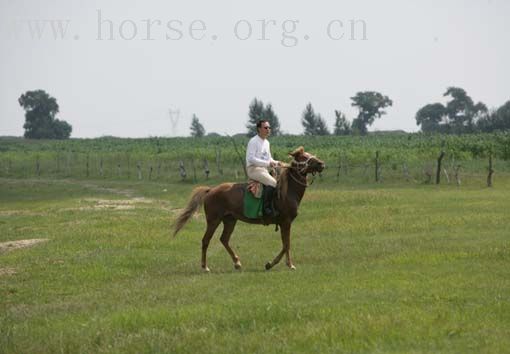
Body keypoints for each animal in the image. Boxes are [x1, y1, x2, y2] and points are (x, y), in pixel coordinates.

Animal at [172, 146, 322, 272]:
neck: (287, 191)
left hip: (230, 220)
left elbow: (285, 245)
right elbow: (287, 245)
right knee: (206, 240)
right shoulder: (286, 222)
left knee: (224, 239)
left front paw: (273, 264)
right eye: (303, 157)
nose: (321, 164)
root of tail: (211, 190)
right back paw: (205, 267)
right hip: (214, 221)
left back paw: (237, 263)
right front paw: (285, 264)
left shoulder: (284, 223)